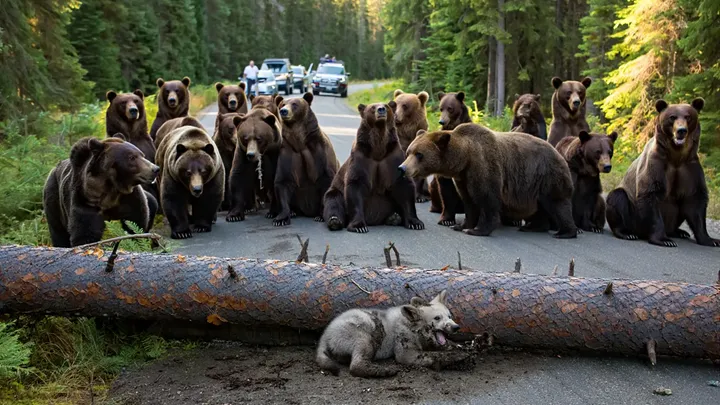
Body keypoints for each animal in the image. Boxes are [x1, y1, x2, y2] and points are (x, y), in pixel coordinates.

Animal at [272, 92, 339, 226]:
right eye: (282, 104)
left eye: (295, 104)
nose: (283, 111)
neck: (299, 142)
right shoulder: (288, 153)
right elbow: (283, 181)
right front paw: (281, 219)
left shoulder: (320, 153)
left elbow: (326, 180)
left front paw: (320, 216)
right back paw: (293, 211)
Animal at [315, 293, 472, 378]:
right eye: (437, 318)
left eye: (449, 316)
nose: (456, 327)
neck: (411, 325)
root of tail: (325, 335)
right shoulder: (406, 353)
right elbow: (435, 355)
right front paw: (458, 357)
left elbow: (446, 347)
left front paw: (463, 348)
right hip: (364, 337)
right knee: (356, 366)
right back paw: (384, 371)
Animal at [322, 102, 424, 233]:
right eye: (372, 107)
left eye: (386, 106)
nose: (381, 109)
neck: (378, 148)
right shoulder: (361, 158)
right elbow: (355, 185)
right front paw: (359, 226)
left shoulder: (392, 158)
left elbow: (404, 186)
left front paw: (415, 223)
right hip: (335, 191)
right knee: (333, 200)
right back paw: (335, 221)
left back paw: (393, 217)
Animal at [399, 123, 577, 238]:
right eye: (408, 152)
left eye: (419, 154)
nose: (402, 168)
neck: (465, 157)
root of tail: (559, 153)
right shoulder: (463, 177)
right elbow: (469, 201)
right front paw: (461, 225)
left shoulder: (483, 166)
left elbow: (486, 199)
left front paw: (476, 230)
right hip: (535, 186)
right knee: (541, 207)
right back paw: (533, 227)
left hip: (546, 176)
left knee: (557, 204)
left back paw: (564, 232)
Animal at [606, 98, 719, 247]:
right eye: (672, 117)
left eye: (688, 117)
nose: (681, 131)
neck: (676, 156)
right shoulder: (656, 165)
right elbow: (650, 196)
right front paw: (664, 240)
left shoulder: (690, 168)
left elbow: (695, 200)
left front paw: (711, 240)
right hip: (631, 214)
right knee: (617, 197)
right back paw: (627, 233)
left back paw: (680, 232)